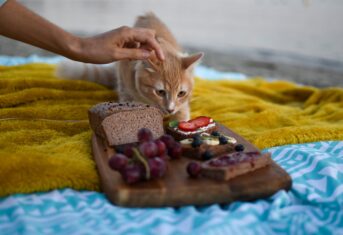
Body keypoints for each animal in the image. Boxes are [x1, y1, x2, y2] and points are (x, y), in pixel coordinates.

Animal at [55, 13, 203, 120]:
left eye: (181, 93)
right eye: (160, 92)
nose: (170, 109)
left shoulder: (182, 107)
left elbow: (182, 116)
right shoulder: (127, 88)